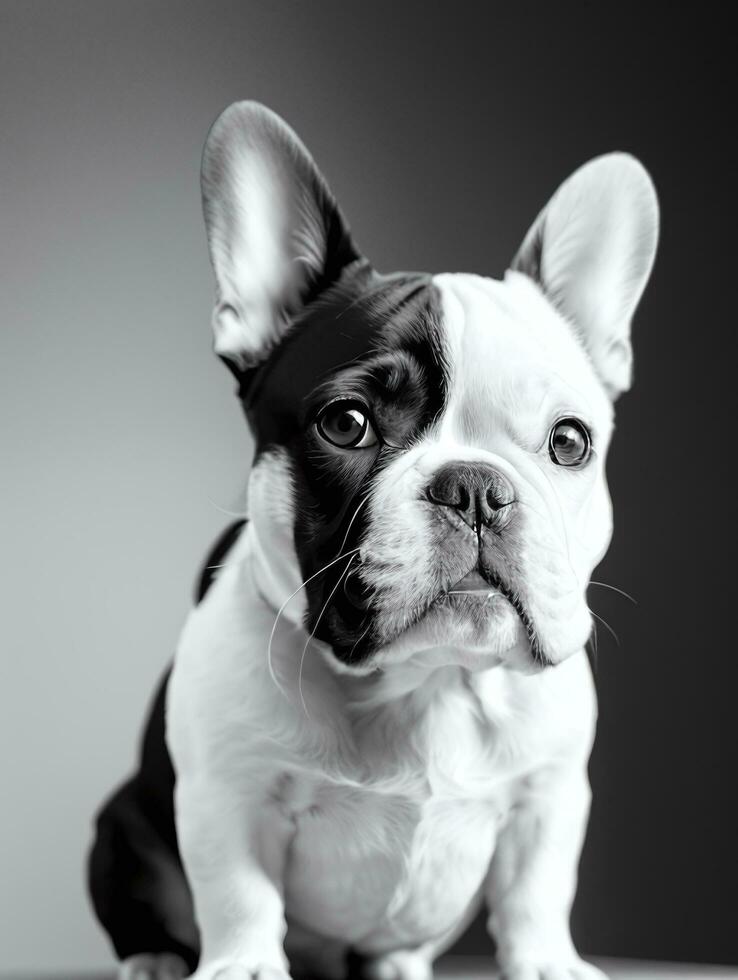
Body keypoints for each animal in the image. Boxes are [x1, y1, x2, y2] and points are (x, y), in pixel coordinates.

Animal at [89, 101, 660, 980]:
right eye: (347, 424)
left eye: (570, 442)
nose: (476, 487)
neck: (430, 684)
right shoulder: (227, 790)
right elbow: (238, 891)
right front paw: (244, 966)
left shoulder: (551, 794)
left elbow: (536, 891)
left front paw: (548, 963)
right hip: (120, 826)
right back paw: (155, 958)